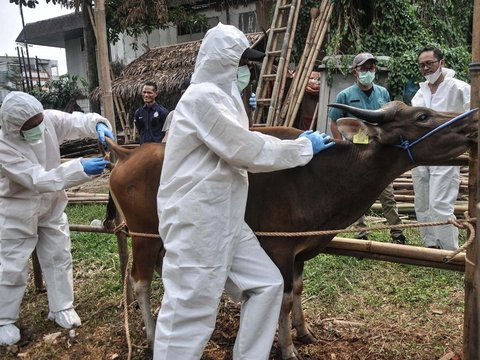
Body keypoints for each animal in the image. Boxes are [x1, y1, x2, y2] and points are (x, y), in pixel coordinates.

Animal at [105, 102, 476, 360]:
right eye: (423, 115)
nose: (472, 121)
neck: (319, 175)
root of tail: (124, 155)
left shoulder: (300, 251)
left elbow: (297, 289)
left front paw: (305, 331)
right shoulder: (279, 250)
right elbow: (282, 299)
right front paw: (286, 347)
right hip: (144, 237)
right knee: (140, 281)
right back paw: (153, 337)